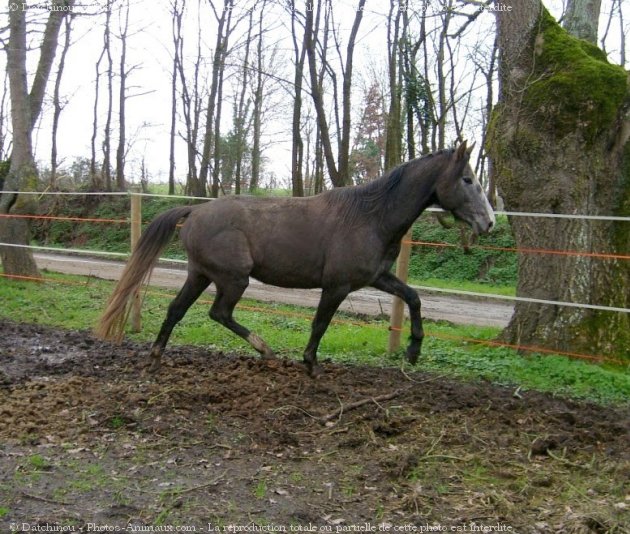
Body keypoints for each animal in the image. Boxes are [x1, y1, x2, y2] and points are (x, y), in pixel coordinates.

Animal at [96, 142, 496, 376]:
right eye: (467, 179)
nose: (489, 221)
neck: (371, 216)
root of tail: (194, 212)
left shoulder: (376, 278)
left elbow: (414, 297)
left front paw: (413, 350)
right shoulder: (337, 286)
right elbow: (320, 324)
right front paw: (311, 364)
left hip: (200, 274)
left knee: (177, 310)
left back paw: (156, 357)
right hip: (233, 278)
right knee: (219, 313)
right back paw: (265, 350)